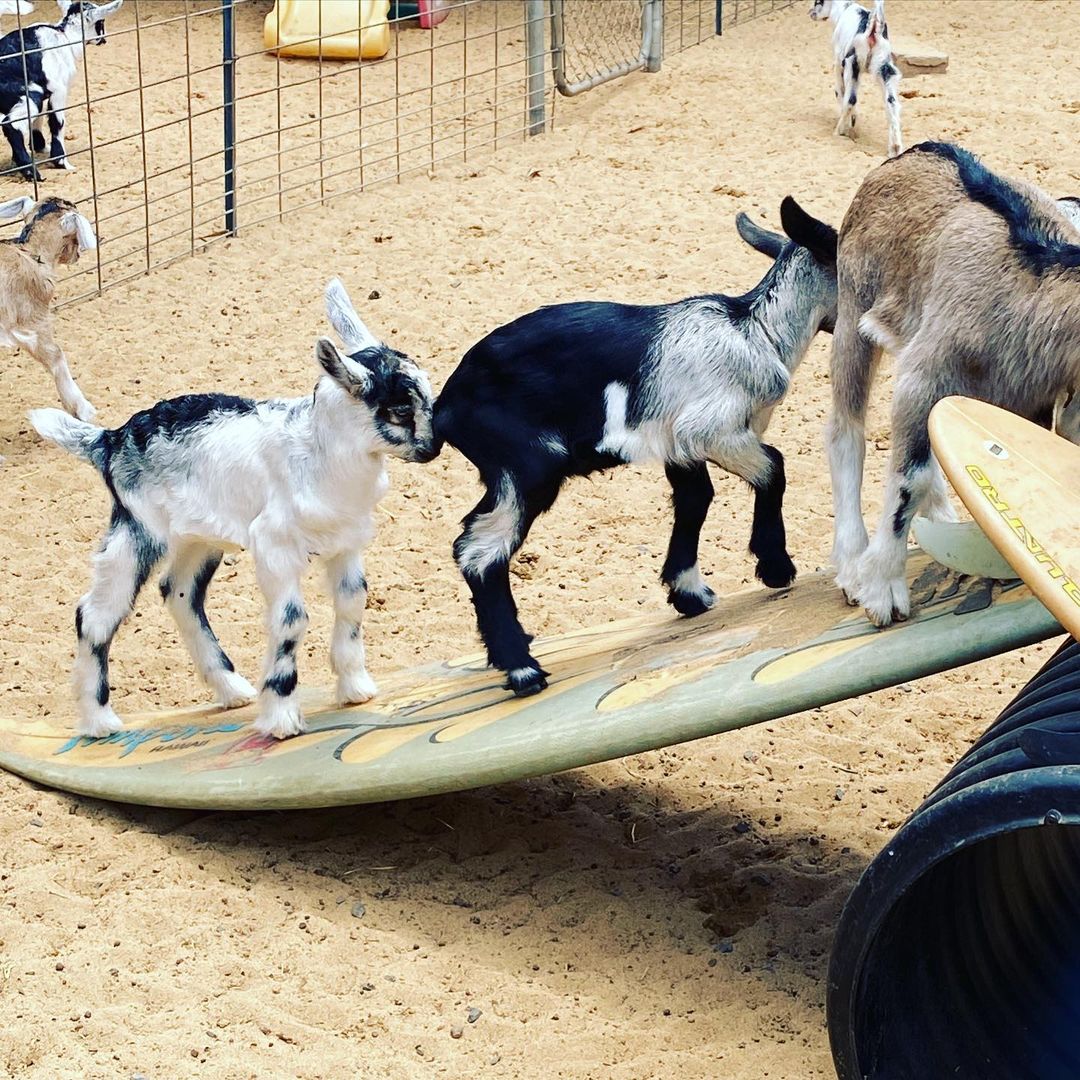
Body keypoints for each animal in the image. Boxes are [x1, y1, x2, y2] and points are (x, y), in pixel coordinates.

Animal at [0, 0, 123, 181]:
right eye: (101, 23)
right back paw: (32, 173)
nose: (103, 40)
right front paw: (61, 162)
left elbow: (38, 120)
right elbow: (57, 122)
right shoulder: (59, 90)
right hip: (28, 93)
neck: (65, 35)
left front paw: (40, 147)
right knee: (11, 125)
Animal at [30, 278, 437, 740]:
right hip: (138, 532)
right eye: (400, 410)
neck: (316, 451)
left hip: (198, 537)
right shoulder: (274, 545)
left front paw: (355, 688)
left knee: (179, 593)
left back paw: (232, 689)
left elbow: (352, 602)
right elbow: (292, 619)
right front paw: (281, 716)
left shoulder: (345, 542)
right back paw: (99, 721)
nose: (434, 446)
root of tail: (109, 440)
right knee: (95, 615)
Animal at [433, 200, 838, 696]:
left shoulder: (678, 443)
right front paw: (775, 567)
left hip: (508, 474)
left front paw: (688, 593)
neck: (756, 331)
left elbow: (695, 500)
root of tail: (446, 407)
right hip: (530, 466)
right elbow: (773, 468)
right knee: (481, 549)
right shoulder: (712, 430)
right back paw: (522, 669)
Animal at [810, 0, 902, 159]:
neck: (843, 8)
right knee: (891, 102)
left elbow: (840, 92)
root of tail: (873, 27)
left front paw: (849, 126)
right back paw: (895, 148)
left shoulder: (838, 62)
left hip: (852, 64)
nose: (811, 13)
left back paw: (838, 131)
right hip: (885, 68)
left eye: (817, 2)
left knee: (851, 99)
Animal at [826, 142, 1080, 627]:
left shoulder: (1027, 404)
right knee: (845, 429)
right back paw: (850, 563)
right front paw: (883, 589)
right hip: (854, 310)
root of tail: (910, 153)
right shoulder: (923, 375)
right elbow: (911, 478)